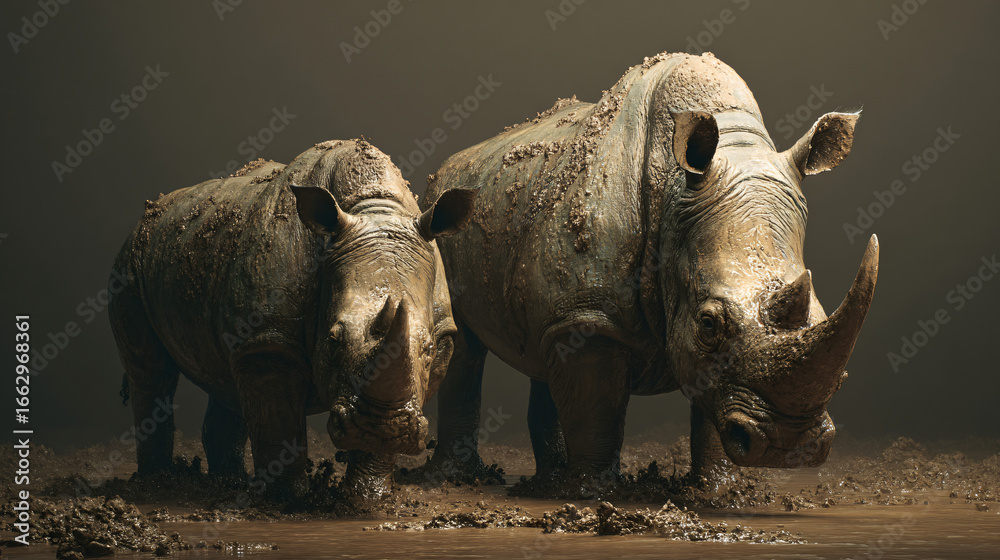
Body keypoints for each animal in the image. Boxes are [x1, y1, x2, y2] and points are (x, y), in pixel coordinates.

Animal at [109, 139, 476, 498]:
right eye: (332, 341)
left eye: (428, 348)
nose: (384, 429)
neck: (373, 208)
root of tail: (149, 215)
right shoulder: (270, 339)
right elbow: (278, 424)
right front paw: (289, 500)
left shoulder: (439, 335)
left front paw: (367, 496)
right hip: (129, 264)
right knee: (153, 374)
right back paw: (160, 482)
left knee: (226, 379)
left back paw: (227, 482)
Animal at [422, 52, 878, 484]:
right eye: (708, 324)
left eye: (819, 312)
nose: (788, 448)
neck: (673, 190)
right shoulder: (593, 317)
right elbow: (596, 418)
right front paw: (590, 493)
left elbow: (709, 416)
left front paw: (719, 491)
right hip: (445, 215)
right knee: (466, 348)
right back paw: (460, 479)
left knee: (542, 345)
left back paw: (546, 483)